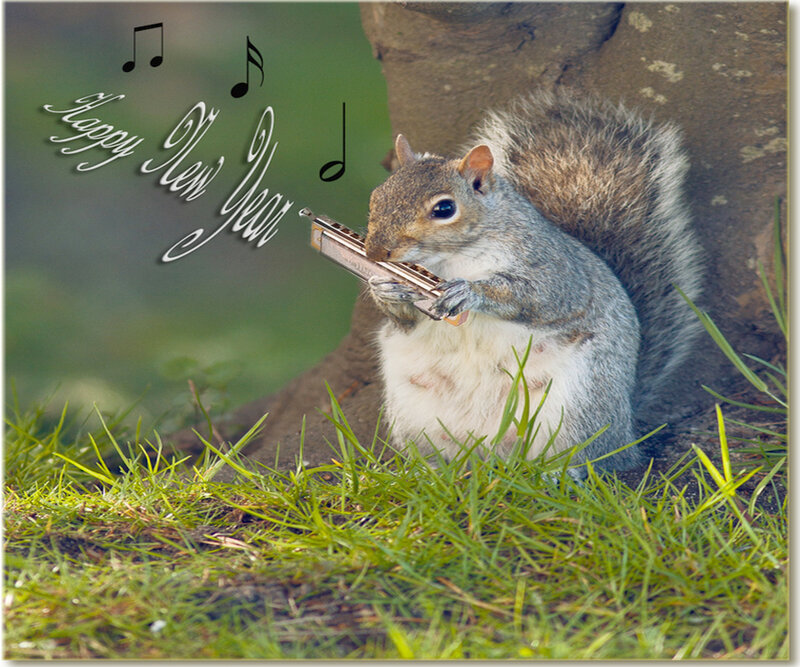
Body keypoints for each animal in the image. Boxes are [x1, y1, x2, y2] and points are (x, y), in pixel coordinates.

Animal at [363, 89, 703, 472]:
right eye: (378, 196)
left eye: (444, 209)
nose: (375, 252)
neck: (450, 258)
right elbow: (404, 318)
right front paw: (384, 290)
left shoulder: (554, 270)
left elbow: (536, 296)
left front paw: (469, 291)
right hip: (415, 410)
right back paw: (431, 470)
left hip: (577, 405)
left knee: (587, 459)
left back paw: (559, 472)